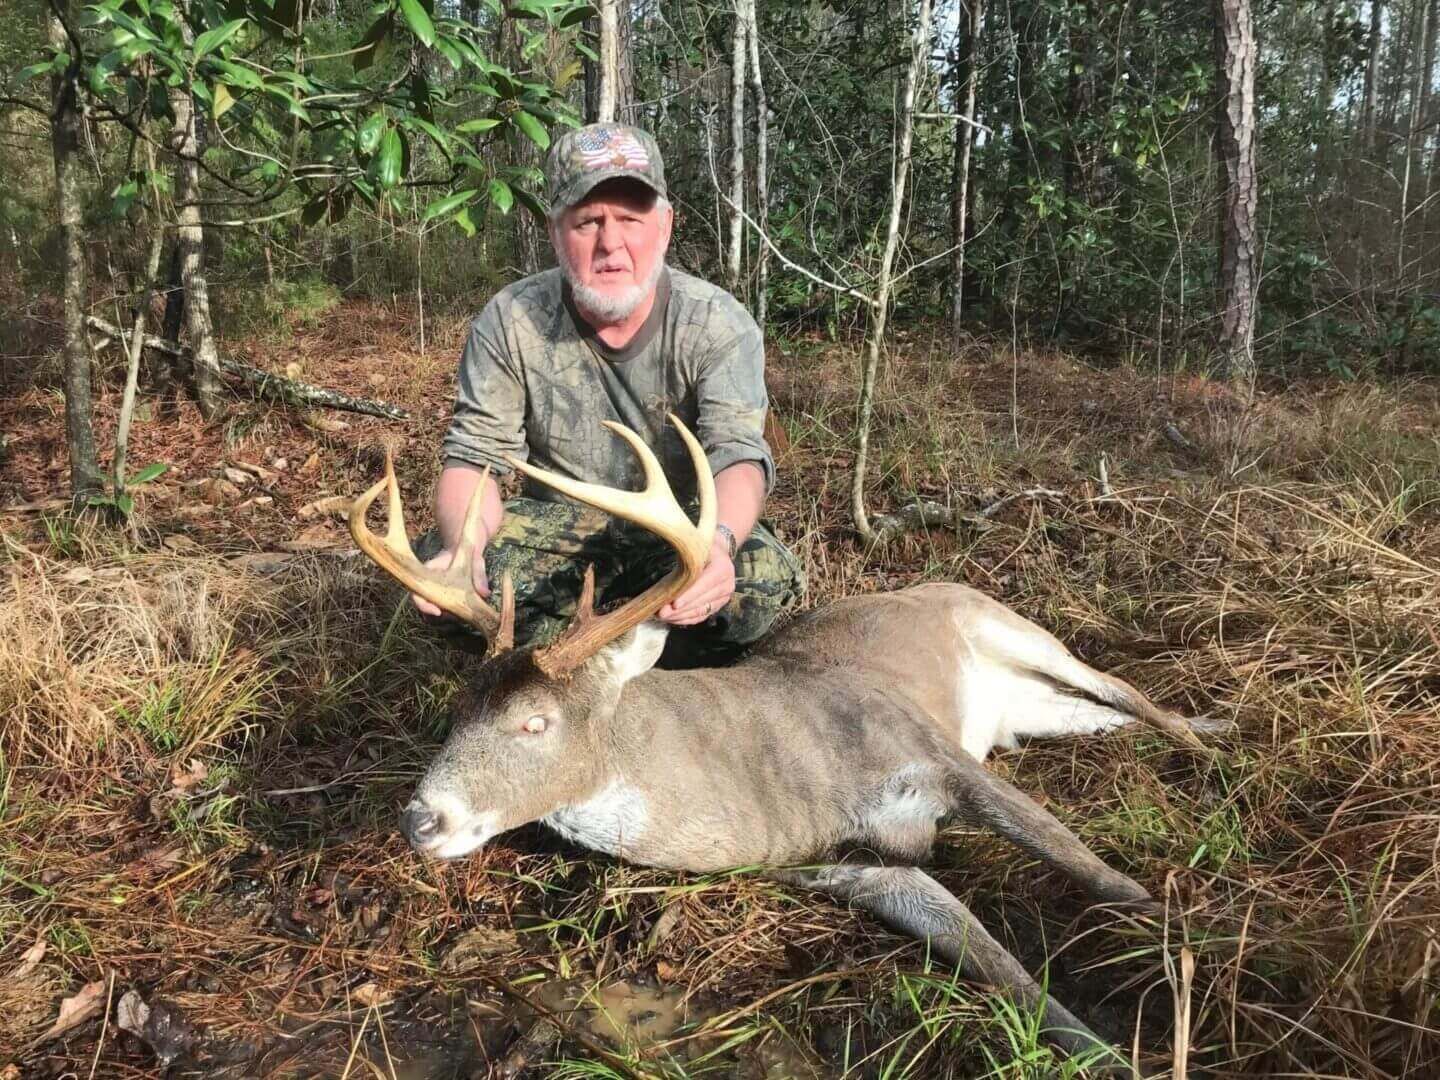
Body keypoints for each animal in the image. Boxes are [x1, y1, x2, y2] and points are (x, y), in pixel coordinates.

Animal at [348, 416, 1223, 1069]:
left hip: (1006, 623)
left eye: (535, 721)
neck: (776, 783)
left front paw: (1171, 930)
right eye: (457, 712)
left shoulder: (930, 749)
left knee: (1118, 686)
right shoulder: (849, 868)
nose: (419, 819)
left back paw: (1210, 738)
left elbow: (1074, 854)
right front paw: (1098, 1049)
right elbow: (990, 957)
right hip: (1023, 711)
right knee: (1097, 711)